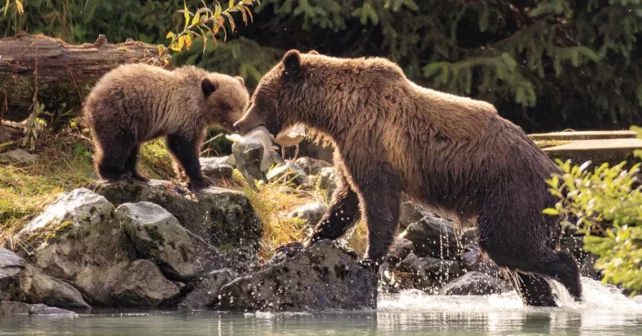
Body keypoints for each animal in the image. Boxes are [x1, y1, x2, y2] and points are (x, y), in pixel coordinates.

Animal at [82, 63, 248, 189]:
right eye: (227, 105)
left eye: (242, 105)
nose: (237, 124)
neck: (200, 106)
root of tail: (92, 95)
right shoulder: (184, 116)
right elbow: (183, 148)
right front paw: (201, 179)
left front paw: (185, 175)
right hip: (120, 113)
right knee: (117, 145)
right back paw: (114, 173)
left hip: (134, 123)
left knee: (132, 148)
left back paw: (138, 175)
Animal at [234, 49, 580, 308]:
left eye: (257, 96)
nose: (239, 124)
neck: (337, 112)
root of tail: (560, 176)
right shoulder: (349, 148)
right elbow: (345, 201)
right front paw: (297, 245)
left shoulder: (371, 139)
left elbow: (377, 199)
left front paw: (368, 259)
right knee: (521, 266)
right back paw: (543, 298)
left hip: (513, 192)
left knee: (507, 243)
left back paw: (572, 284)